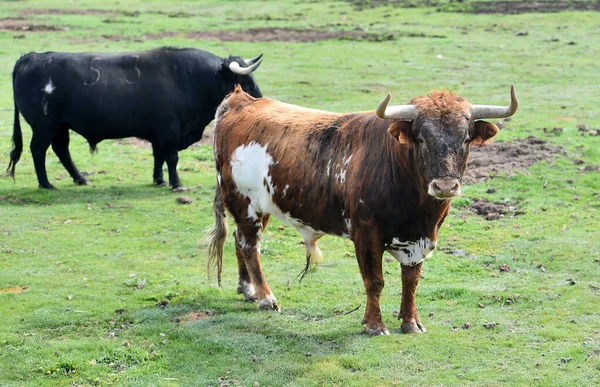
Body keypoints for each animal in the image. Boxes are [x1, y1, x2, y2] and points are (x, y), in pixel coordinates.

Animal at [5, 46, 262, 190]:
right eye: (245, 82)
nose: (260, 100)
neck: (189, 78)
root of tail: (31, 58)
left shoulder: (159, 134)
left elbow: (158, 157)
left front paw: (159, 180)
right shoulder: (169, 132)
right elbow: (171, 158)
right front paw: (176, 184)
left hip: (60, 126)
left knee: (61, 150)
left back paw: (80, 179)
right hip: (44, 126)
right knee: (38, 150)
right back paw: (46, 183)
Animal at [207, 85, 516, 336]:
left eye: (465, 139)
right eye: (421, 138)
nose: (445, 185)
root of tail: (241, 101)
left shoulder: (420, 239)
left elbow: (411, 281)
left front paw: (410, 322)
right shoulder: (366, 236)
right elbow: (374, 281)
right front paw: (375, 325)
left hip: (263, 206)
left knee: (240, 241)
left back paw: (247, 289)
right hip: (244, 202)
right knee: (250, 246)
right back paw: (265, 297)